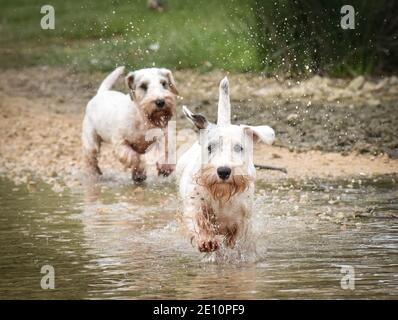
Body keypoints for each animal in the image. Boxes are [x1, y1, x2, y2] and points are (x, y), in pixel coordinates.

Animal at [176, 77, 276, 252]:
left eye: (239, 147)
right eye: (210, 147)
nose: (223, 171)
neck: (221, 194)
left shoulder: (242, 219)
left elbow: (236, 238)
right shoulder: (194, 205)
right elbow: (198, 220)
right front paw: (206, 240)